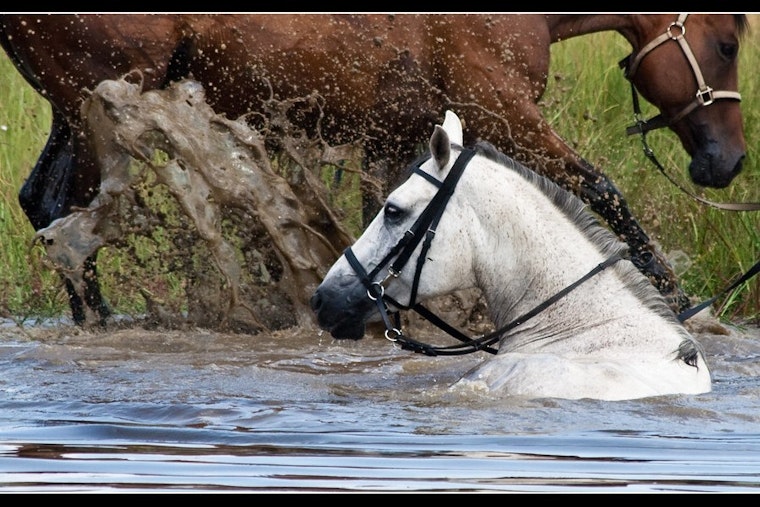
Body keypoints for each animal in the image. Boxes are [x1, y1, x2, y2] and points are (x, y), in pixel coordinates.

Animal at [0, 14, 748, 326]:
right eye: (729, 43)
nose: (728, 161)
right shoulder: (503, 112)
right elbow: (601, 189)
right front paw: (684, 304)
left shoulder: (396, 136)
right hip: (97, 108)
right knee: (67, 213)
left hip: (76, 111)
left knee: (45, 204)